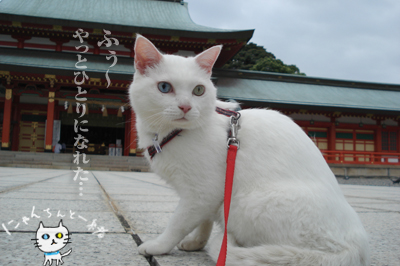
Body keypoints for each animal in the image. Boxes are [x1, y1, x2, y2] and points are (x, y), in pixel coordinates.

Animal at [128, 35, 368, 266]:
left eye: (198, 90)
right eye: (164, 87)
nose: (186, 107)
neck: (169, 133)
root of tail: (355, 248)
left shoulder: (202, 192)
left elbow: (177, 223)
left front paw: (158, 246)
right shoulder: (209, 198)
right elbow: (204, 222)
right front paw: (196, 242)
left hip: (244, 204)